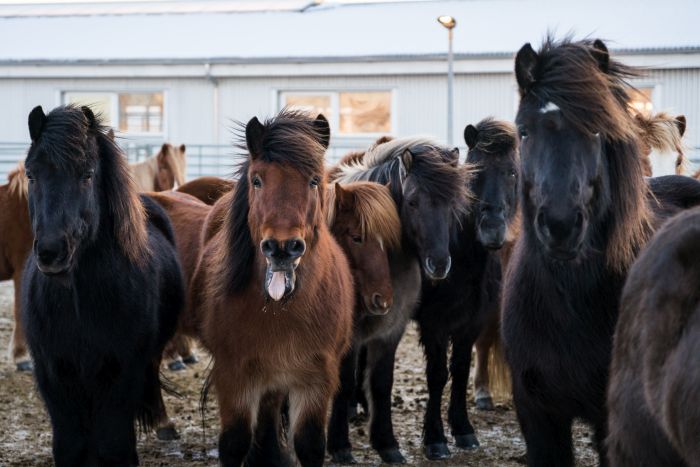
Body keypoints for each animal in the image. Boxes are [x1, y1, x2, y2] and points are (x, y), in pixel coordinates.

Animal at [191, 110, 352, 467]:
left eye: (314, 180)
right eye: (257, 180)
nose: (282, 248)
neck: (279, 308)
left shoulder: (316, 380)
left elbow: (310, 444)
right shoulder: (235, 376)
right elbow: (234, 442)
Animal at [416, 118, 520, 460]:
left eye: (512, 172)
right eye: (474, 171)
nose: (492, 231)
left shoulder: (472, 322)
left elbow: (460, 369)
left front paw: (463, 430)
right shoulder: (433, 324)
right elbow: (437, 375)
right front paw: (435, 439)